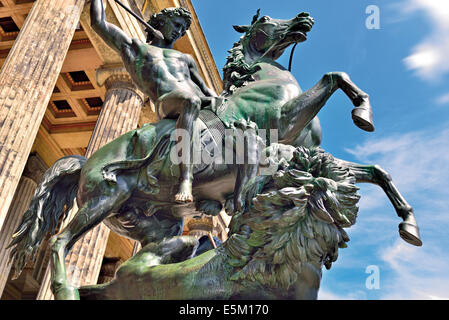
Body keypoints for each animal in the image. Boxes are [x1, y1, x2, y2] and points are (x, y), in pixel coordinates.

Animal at [7, 10, 420, 300]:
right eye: (266, 19)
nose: (305, 18)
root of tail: (83, 162)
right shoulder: (275, 134)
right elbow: (333, 76)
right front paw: (362, 110)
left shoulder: (300, 155)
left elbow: (375, 171)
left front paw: (408, 223)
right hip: (105, 196)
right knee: (61, 242)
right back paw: (66, 289)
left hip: (154, 224)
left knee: (147, 262)